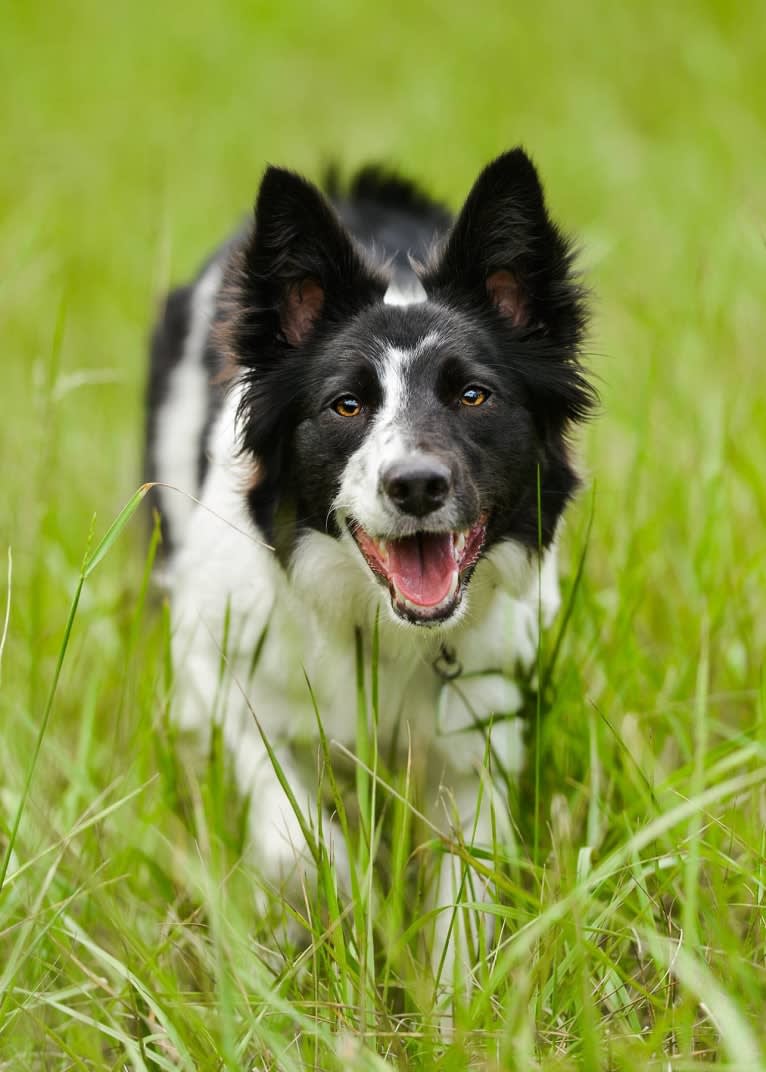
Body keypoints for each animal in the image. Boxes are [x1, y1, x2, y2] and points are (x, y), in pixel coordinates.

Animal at [146, 144, 595, 973]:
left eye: (474, 395)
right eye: (346, 405)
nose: (415, 484)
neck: (382, 631)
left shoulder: (479, 735)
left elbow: (465, 896)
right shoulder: (214, 666)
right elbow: (296, 839)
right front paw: (342, 906)